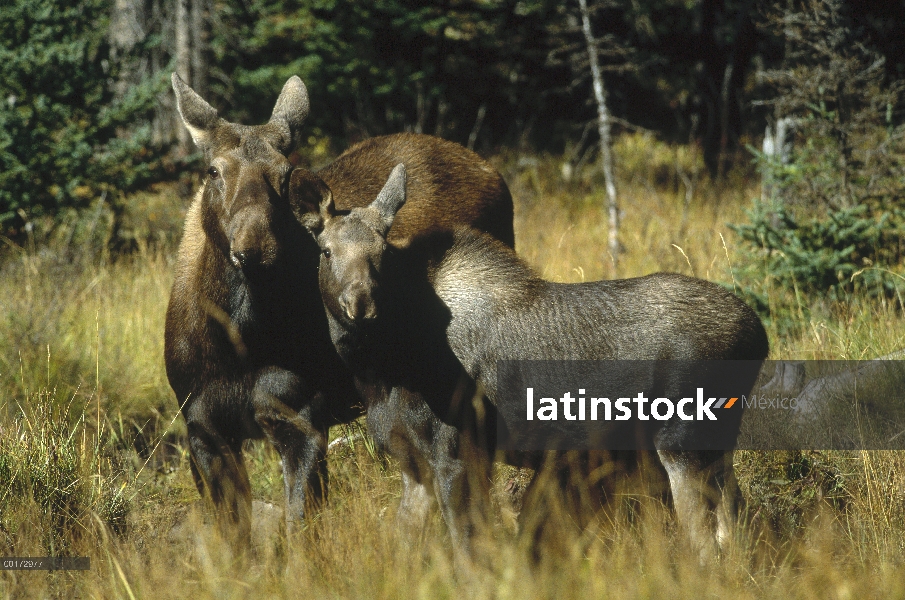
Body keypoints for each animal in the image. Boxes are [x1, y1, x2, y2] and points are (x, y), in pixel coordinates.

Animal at [308, 165, 768, 564]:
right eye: (326, 251)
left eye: (382, 251)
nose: (360, 304)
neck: (382, 371)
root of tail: (758, 335)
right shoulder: (412, 462)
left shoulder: (458, 451)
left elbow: (467, 546)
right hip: (715, 447)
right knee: (735, 522)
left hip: (682, 444)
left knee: (705, 543)